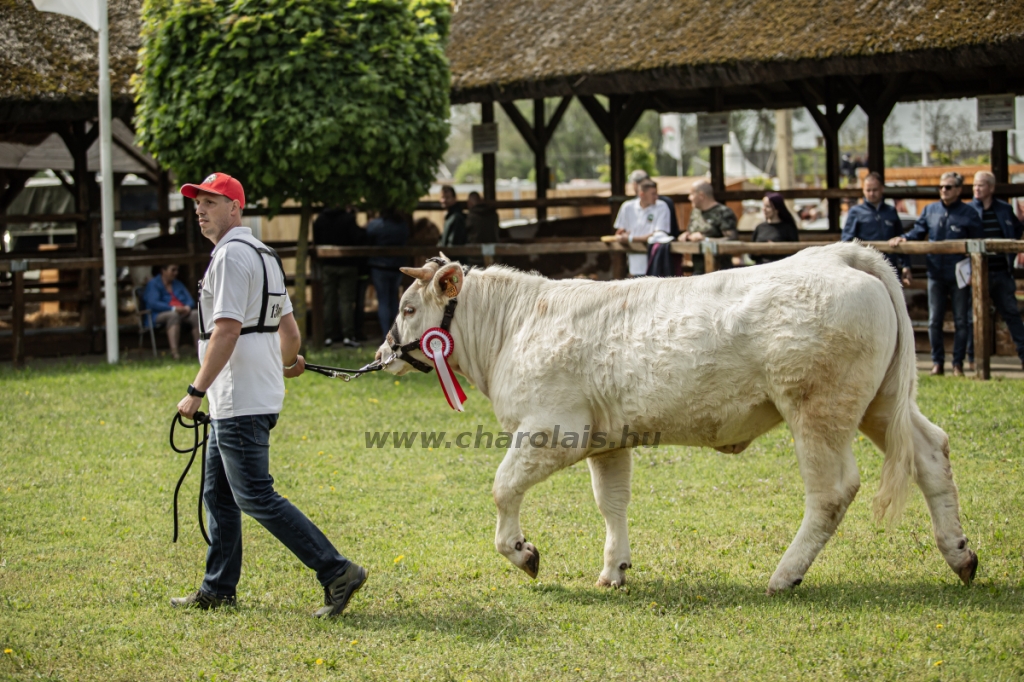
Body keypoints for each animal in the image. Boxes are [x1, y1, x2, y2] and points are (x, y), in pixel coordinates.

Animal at [376, 242, 974, 589]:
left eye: (408, 307)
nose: (383, 354)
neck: (516, 326)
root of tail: (838, 255)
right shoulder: (608, 440)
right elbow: (611, 503)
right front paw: (614, 569)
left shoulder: (554, 430)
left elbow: (502, 488)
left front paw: (523, 553)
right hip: (882, 402)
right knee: (930, 451)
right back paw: (961, 556)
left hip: (817, 408)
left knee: (831, 491)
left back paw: (784, 575)